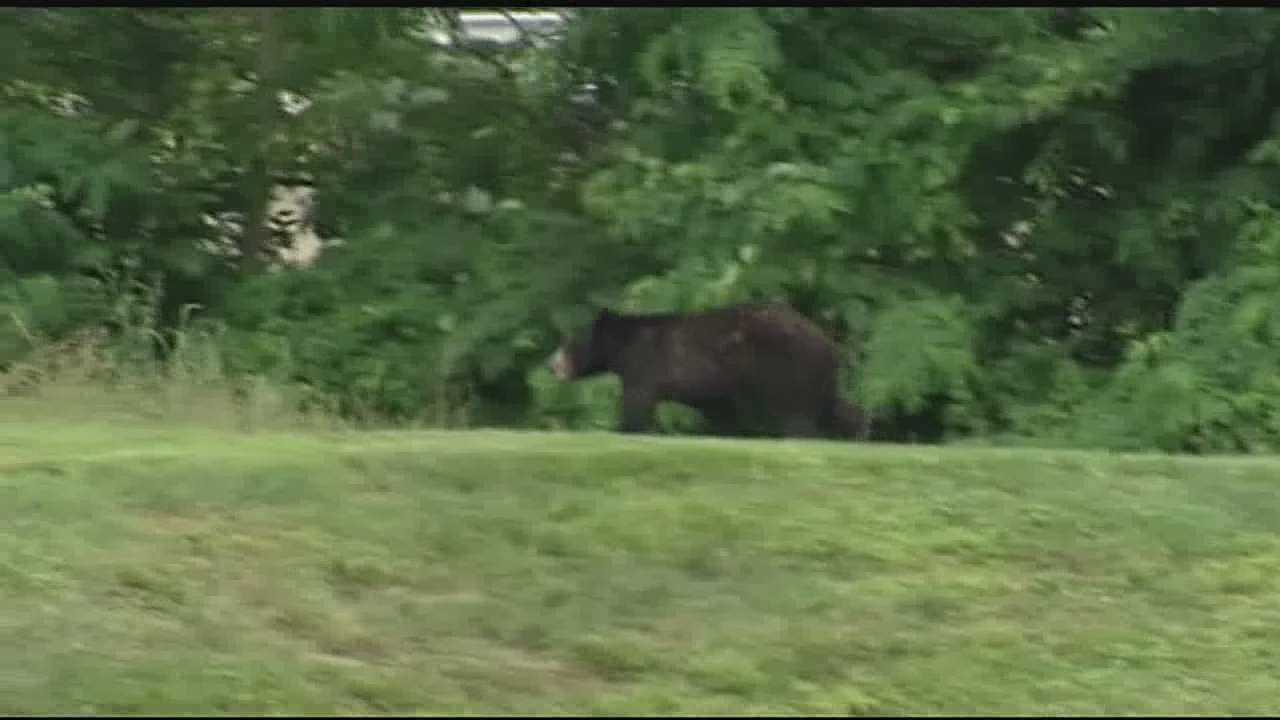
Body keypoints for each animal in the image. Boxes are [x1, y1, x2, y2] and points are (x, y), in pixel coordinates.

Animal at [550, 298, 870, 438]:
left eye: (570, 342)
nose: (552, 365)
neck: (623, 348)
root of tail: (829, 342)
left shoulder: (645, 365)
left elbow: (637, 401)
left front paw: (627, 429)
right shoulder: (713, 387)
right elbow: (718, 410)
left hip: (783, 368)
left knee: (798, 414)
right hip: (814, 376)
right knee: (833, 406)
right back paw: (858, 429)